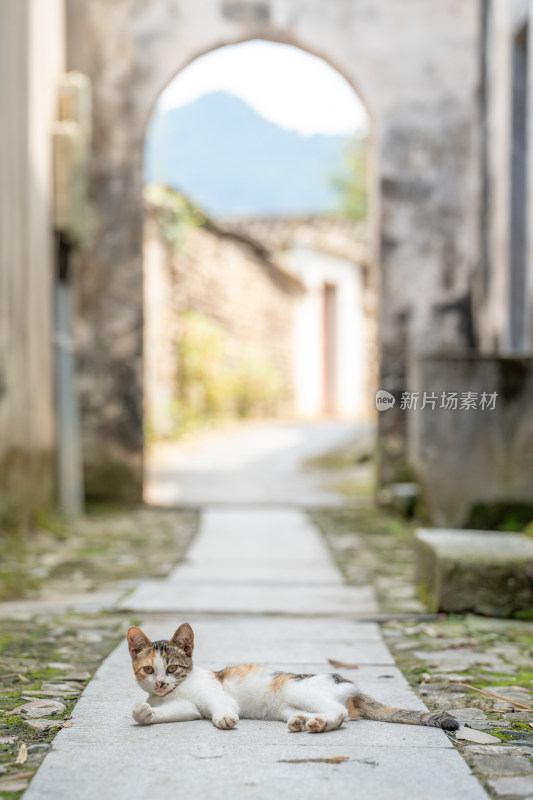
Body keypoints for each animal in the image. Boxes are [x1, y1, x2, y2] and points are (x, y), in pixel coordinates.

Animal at [128, 620, 458, 736]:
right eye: (149, 670)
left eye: (172, 668)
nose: (160, 683)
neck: (177, 690)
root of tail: (350, 686)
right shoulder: (187, 707)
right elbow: (166, 712)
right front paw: (144, 712)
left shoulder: (215, 695)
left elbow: (221, 707)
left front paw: (225, 719)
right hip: (287, 705)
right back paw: (305, 721)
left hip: (298, 689)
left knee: (340, 712)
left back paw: (321, 724)